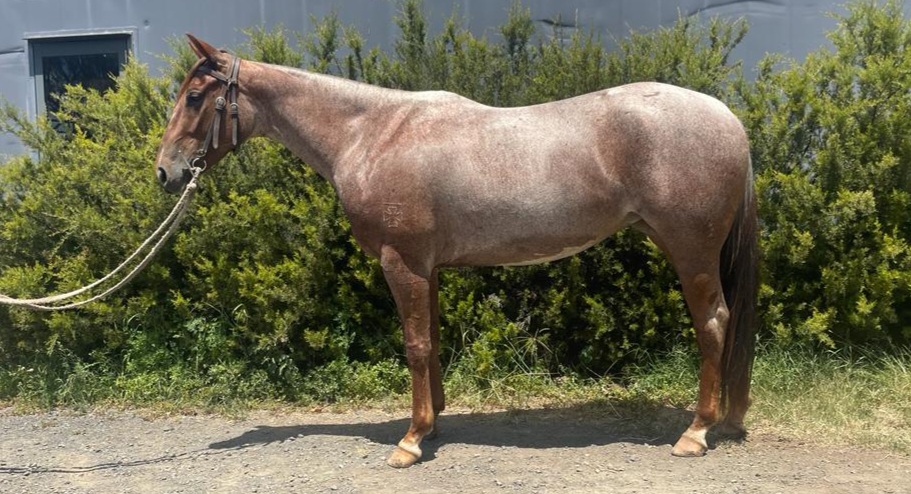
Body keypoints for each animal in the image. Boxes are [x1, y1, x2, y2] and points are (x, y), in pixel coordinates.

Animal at [155, 34, 759, 468]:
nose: (165, 172)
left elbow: (415, 345)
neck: (370, 133)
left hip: (691, 252)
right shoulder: (427, 268)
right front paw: (435, 421)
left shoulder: (401, 263)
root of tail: (728, 119)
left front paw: (411, 440)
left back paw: (697, 432)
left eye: (194, 97)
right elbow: (433, 342)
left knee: (713, 323)